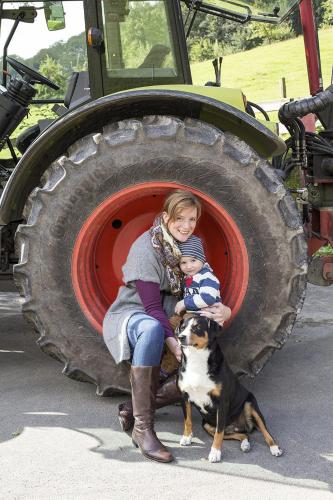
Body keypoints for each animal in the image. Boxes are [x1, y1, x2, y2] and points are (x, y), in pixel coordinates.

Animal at [175, 314, 282, 462]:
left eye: (197, 327)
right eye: (182, 328)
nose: (181, 337)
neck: (196, 360)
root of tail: (239, 426)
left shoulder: (222, 402)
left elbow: (218, 433)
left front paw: (215, 452)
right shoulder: (184, 397)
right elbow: (187, 420)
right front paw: (186, 437)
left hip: (250, 404)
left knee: (265, 431)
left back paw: (274, 447)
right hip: (207, 425)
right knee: (243, 435)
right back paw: (245, 444)